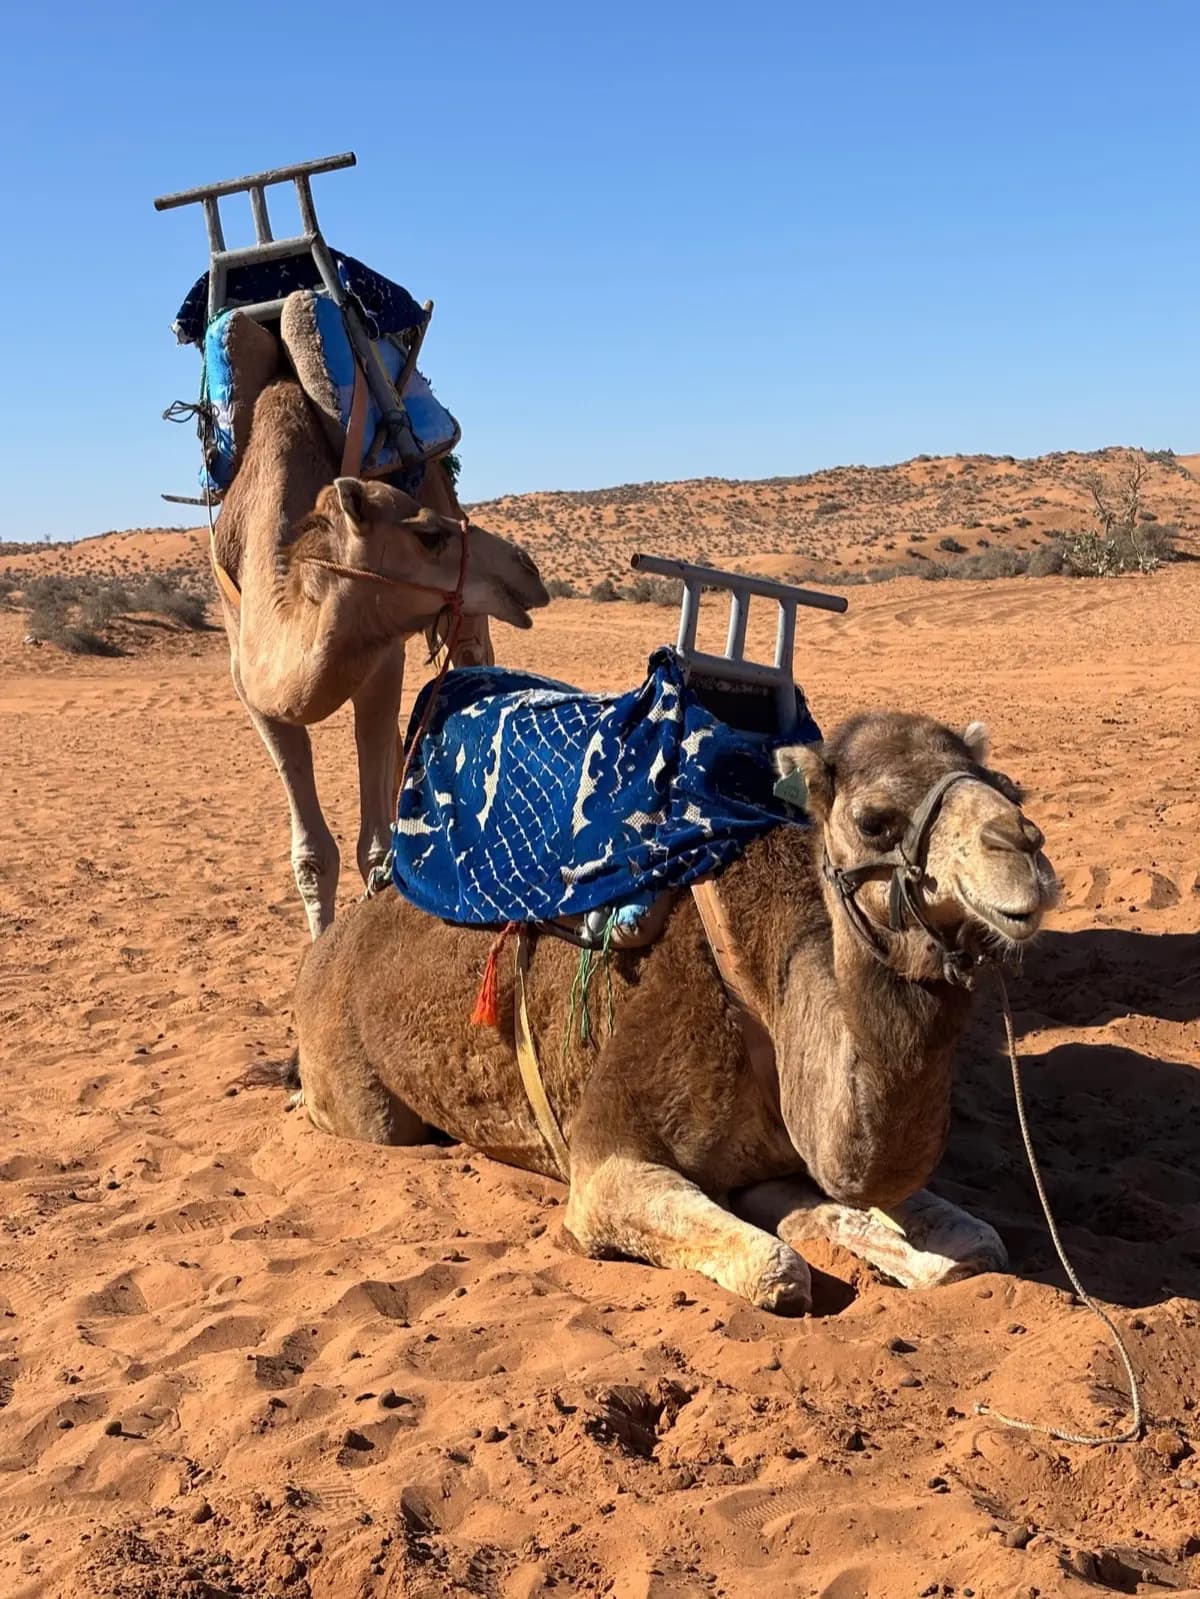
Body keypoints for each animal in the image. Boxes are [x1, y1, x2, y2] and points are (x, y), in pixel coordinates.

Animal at [211, 373, 548, 939]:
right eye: (428, 536)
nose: (528, 567)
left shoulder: (382, 662)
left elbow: (374, 848)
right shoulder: (254, 690)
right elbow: (313, 857)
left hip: (467, 631)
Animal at [291, 709, 1057, 1312]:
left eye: (1008, 788)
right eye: (874, 821)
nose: (1023, 848)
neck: (768, 996)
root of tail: (326, 947)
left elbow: (975, 1244)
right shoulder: (607, 1159)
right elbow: (777, 1270)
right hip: (364, 1099)